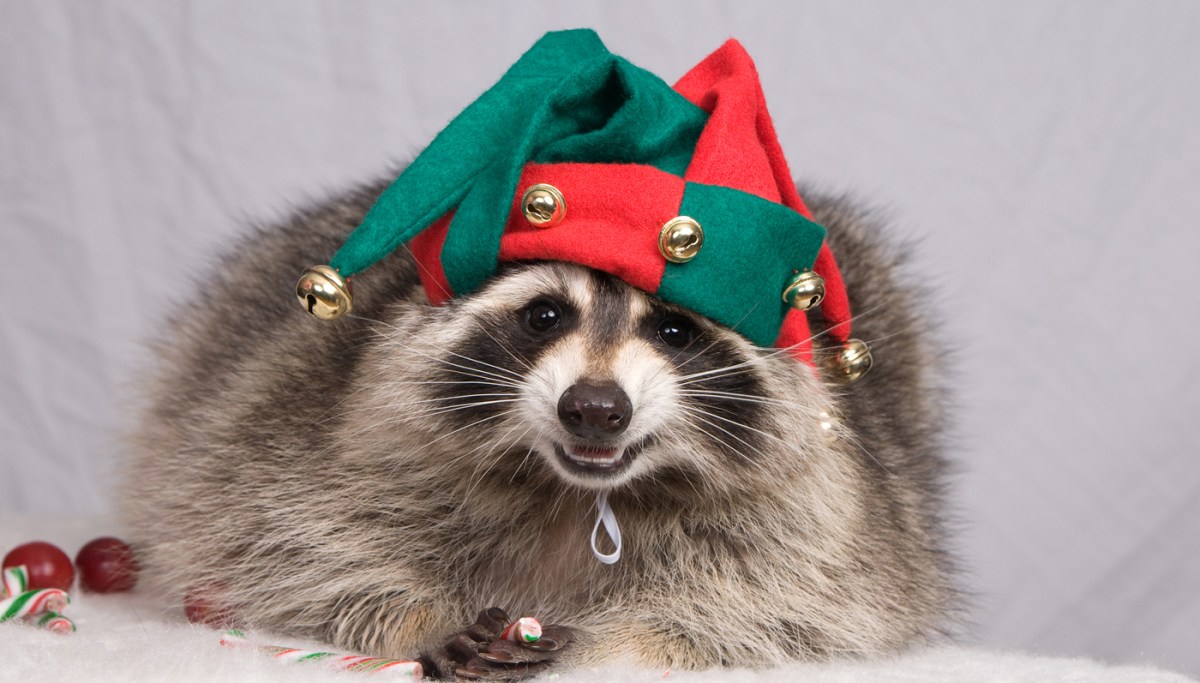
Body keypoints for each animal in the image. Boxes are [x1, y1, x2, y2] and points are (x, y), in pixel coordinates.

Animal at [122, 177, 956, 677]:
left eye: (674, 330)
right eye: (546, 315)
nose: (596, 406)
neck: (577, 493)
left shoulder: (819, 513)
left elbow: (790, 606)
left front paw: (611, 641)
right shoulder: (297, 428)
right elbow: (285, 546)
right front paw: (421, 617)